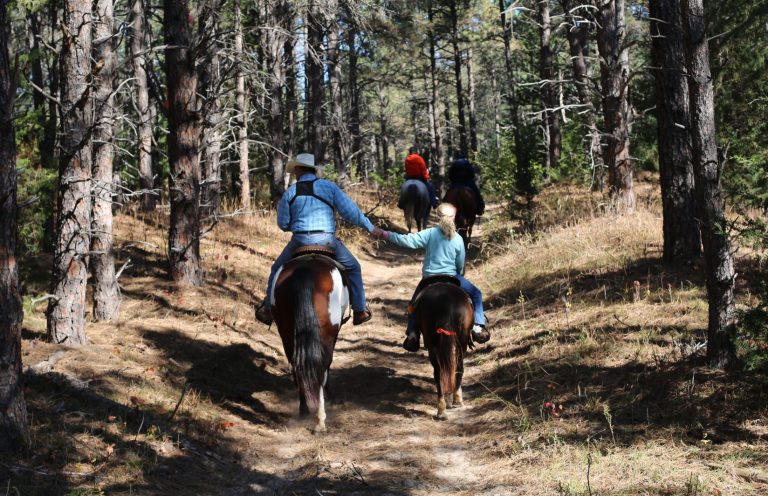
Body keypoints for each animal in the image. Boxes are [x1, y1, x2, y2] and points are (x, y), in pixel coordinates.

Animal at [270, 250, 348, 432]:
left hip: (286, 332)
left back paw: (304, 410)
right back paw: (320, 420)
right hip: (327, 332)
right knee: (321, 367)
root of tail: (304, 271)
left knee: (297, 367)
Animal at [414, 280, 474, 418]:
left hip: (431, 343)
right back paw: (456, 401)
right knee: (458, 367)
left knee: (438, 372)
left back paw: (441, 410)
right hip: (462, 341)